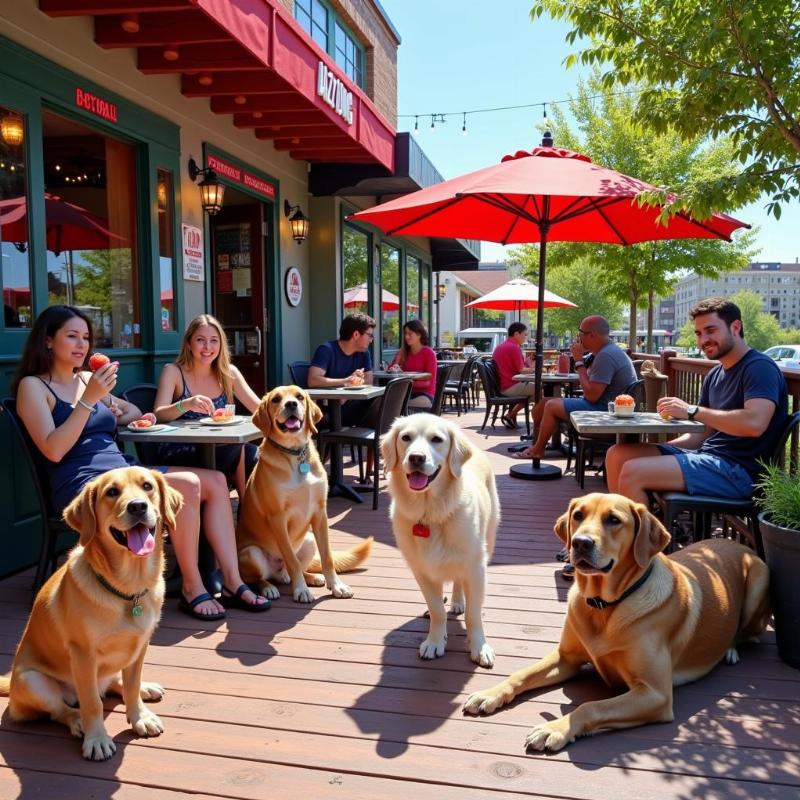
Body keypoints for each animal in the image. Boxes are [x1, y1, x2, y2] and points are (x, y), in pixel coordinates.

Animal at [0, 468, 181, 764]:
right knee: (63, 710)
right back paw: (78, 723)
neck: (128, 590)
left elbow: (131, 686)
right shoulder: (83, 655)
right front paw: (97, 738)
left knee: (117, 683)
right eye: (112, 492)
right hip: (33, 681)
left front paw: (139, 716)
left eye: (147, 486)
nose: (138, 506)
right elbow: (92, 703)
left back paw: (145, 688)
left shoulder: (140, 646)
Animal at [236, 384, 374, 604]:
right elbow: (291, 559)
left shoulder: (320, 513)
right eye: (276, 399)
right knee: (259, 578)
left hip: (309, 541)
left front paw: (336, 585)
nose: (291, 404)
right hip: (251, 553)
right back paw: (269, 588)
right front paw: (301, 590)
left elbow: (327, 557)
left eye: (299, 396)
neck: (295, 453)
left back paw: (311, 577)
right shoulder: (278, 518)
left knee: (291, 571)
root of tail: (277, 572)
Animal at [382, 416, 500, 664]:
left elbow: (474, 614)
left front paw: (480, 646)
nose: (416, 458)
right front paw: (435, 641)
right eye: (405, 437)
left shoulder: (475, 568)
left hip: (488, 538)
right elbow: (437, 610)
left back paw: (458, 602)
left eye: (436, 439)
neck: (430, 514)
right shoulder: (421, 571)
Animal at [462, 494, 768, 752]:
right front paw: (489, 694)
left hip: (759, 579)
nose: (580, 542)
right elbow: (521, 674)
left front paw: (556, 728)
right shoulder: (566, 658)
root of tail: (736, 542)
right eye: (578, 515)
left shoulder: (655, 694)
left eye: (614, 520)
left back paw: (730, 650)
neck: (604, 607)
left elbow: (590, 707)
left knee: (748, 634)